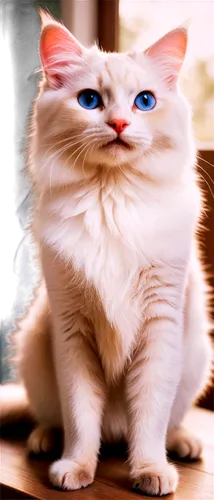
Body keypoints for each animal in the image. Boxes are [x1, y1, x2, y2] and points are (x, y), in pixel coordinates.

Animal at [0, 10, 212, 496]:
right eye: (90, 100)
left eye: (145, 102)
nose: (118, 124)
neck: (110, 196)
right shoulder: (72, 330)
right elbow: (82, 419)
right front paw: (75, 469)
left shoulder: (160, 325)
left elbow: (149, 418)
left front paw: (150, 471)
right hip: (34, 344)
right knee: (52, 417)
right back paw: (44, 441)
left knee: (168, 422)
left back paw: (184, 445)